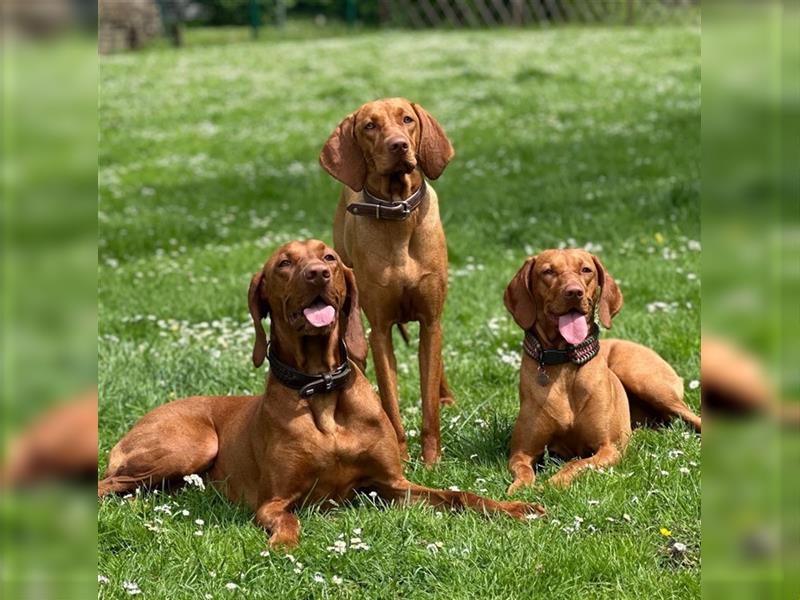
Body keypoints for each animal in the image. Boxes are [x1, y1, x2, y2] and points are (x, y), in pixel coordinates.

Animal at [95, 239, 544, 548]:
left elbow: (458, 495)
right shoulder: (274, 502)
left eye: (328, 257)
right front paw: (283, 544)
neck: (322, 389)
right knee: (107, 482)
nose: (317, 274)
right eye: (284, 263)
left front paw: (515, 508)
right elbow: (288, 519)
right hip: (193, 443)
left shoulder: (391, 485)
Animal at [318, 97, 456, 464]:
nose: (399, 146)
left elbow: (428, 403)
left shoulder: (431, 321)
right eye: (370, 126)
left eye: (407, 120)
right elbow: (391, 405)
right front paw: (402, 454)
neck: (399, 215)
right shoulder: (379, 330)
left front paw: (432, 460)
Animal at [504, 250, 704, 492]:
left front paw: (552, 483)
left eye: (586, 270)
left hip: (642, 379)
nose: (574, 292)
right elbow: (523, 470)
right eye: (548, 271)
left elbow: (576, 464)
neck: (565, 362)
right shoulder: (521, 452)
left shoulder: (608, 448)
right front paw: (520, 489)